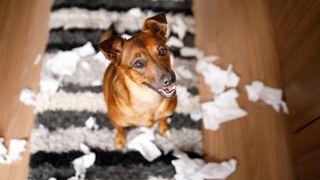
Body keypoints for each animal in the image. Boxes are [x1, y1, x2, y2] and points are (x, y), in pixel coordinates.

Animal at [99, 13, 178, 150]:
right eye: (138, 63)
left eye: (163, 51)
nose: (170, 79)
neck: (146, 98)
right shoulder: (117, 122)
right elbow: (120, 129)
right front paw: (120, 140)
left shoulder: (166, 113)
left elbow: (163, 119)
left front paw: (164, 129)